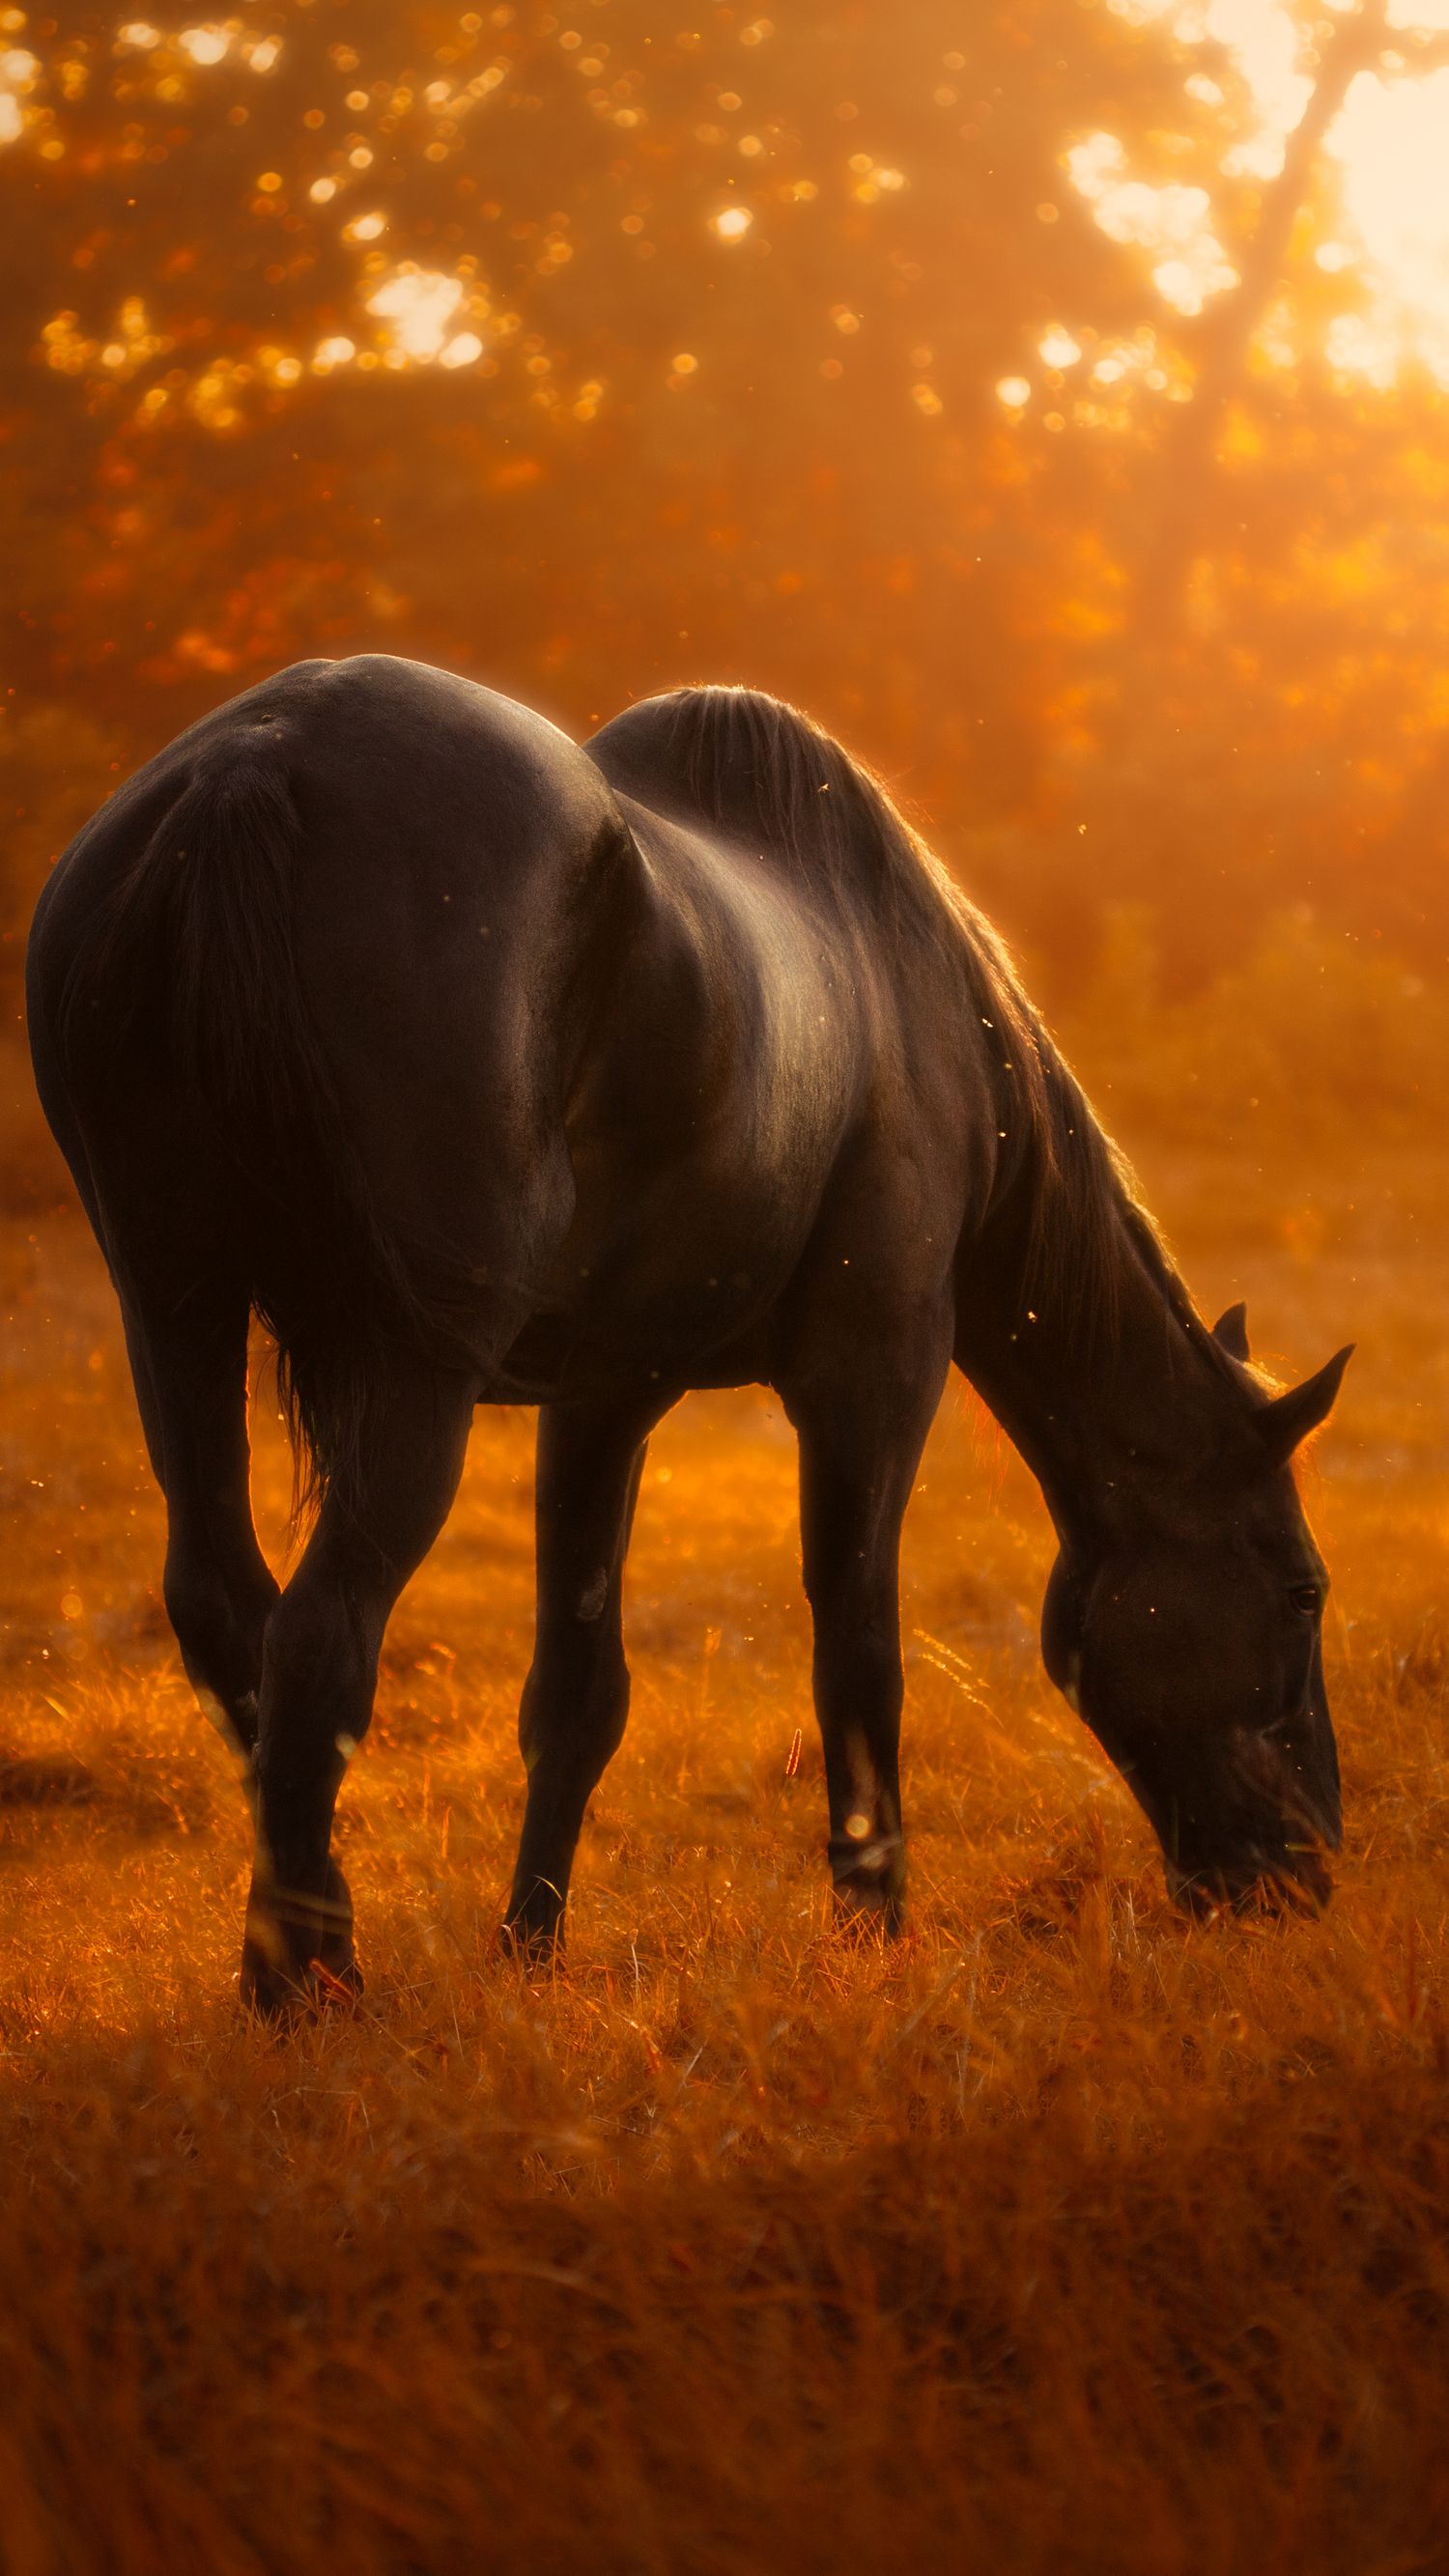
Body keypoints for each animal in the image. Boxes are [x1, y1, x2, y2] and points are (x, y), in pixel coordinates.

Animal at [26, 655, 1352, 2013]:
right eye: (1303, 1590)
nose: (1307, 1874)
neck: (909, 1000)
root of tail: (255, 766)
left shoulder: (603, 1395)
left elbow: (577, 1695)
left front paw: (532, 1947)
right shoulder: (875, 1373)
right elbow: (859, 1660)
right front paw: (875, 1929)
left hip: (174, 1314)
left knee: (224, 1607)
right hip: (410, 1381)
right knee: (318, 1637)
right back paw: (312, 1977)